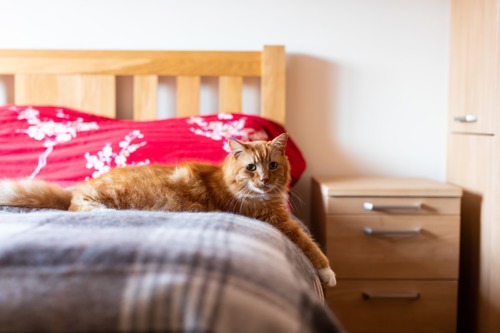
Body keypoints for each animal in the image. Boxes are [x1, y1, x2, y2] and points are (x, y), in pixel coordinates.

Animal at [0, 132, 336, 286]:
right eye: (252, 167)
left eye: (273, 166)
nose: (264, 179)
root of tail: (77, 186)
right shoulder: (277, 221)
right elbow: (310, 245)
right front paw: (328, 273)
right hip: (103, 196)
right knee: (78, 208)